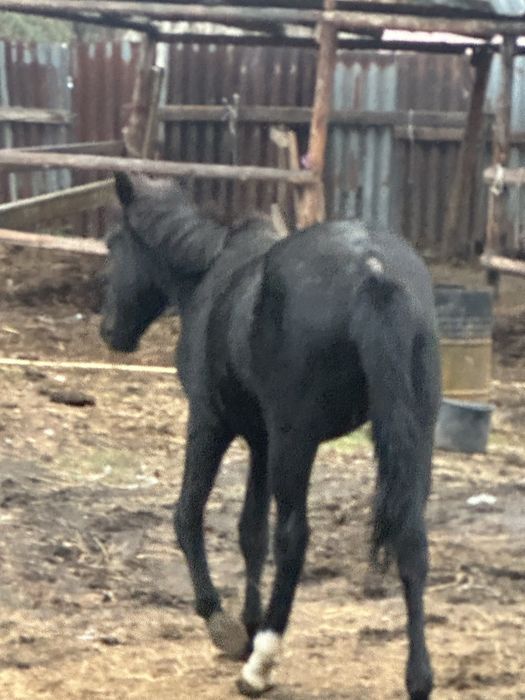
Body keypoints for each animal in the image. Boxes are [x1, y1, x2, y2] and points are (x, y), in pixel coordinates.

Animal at [100, 172, 441, 699]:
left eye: (113, 244)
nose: (109, 330)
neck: (210, 275)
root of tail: (373, 271)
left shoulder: (210, 424)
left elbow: (188, 515)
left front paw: (224, 625)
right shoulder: (260, 442)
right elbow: (250, 532)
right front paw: (247, 621)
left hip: (294, 442)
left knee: (293, 537)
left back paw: (260, 664)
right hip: (411, 435)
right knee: (411, 539)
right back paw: (418, 677)